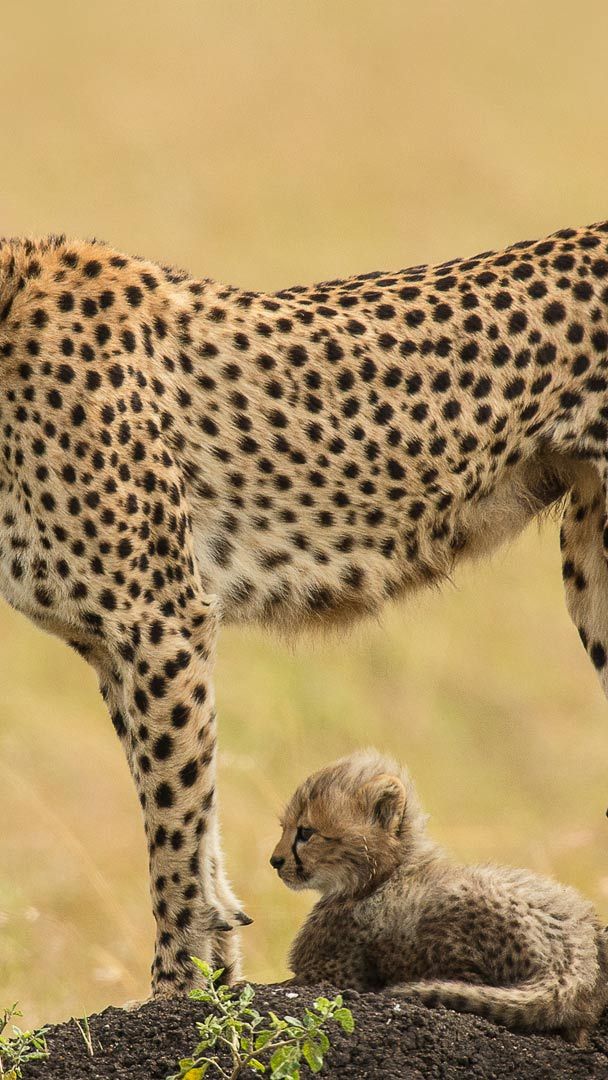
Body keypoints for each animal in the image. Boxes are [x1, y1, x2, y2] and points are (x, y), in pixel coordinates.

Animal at [1, 217, 608, 993]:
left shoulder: (159, 620)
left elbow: (174, 820)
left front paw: (178, 985)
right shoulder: (118, 645)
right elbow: (190, 816)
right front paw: (218, 969)